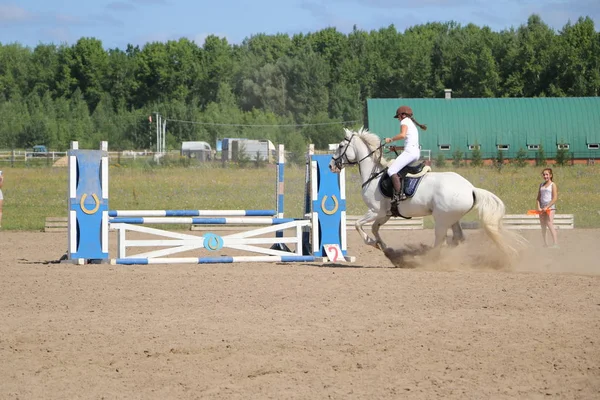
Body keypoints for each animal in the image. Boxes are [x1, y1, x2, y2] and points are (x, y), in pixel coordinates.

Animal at [326, 127, 516, 256]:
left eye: (341, 146)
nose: (331, 165)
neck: (374, 175)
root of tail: (470, 188)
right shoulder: (385, 214)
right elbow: (374, 228)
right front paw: (384, 247)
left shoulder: (374, 211)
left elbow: (358, 225)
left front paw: (373, 243)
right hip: (453, 218)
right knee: (457, 238)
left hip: (441, 220)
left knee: (441, 240)